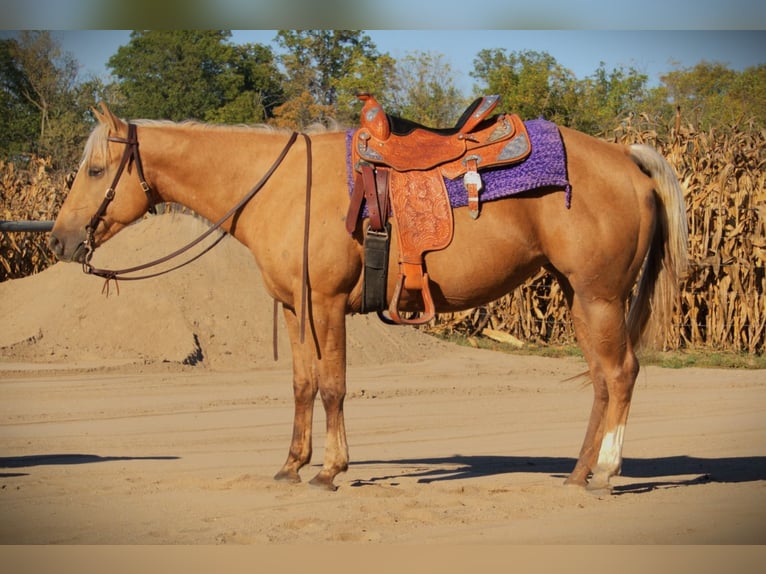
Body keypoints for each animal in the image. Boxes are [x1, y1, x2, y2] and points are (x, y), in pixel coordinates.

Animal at [49, 102, 688, 493]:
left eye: (96, 169)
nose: (59, 239)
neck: (284, 189)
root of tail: (627, 157)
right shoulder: (296, 307)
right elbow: (302, 385)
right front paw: (291, 465)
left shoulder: (328, 303)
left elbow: (332, 386)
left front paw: (331, 470)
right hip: (580, 297)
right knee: (603, 379)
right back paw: (578, 473)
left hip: (600, 296)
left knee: (621, 374)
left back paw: (605, 472)